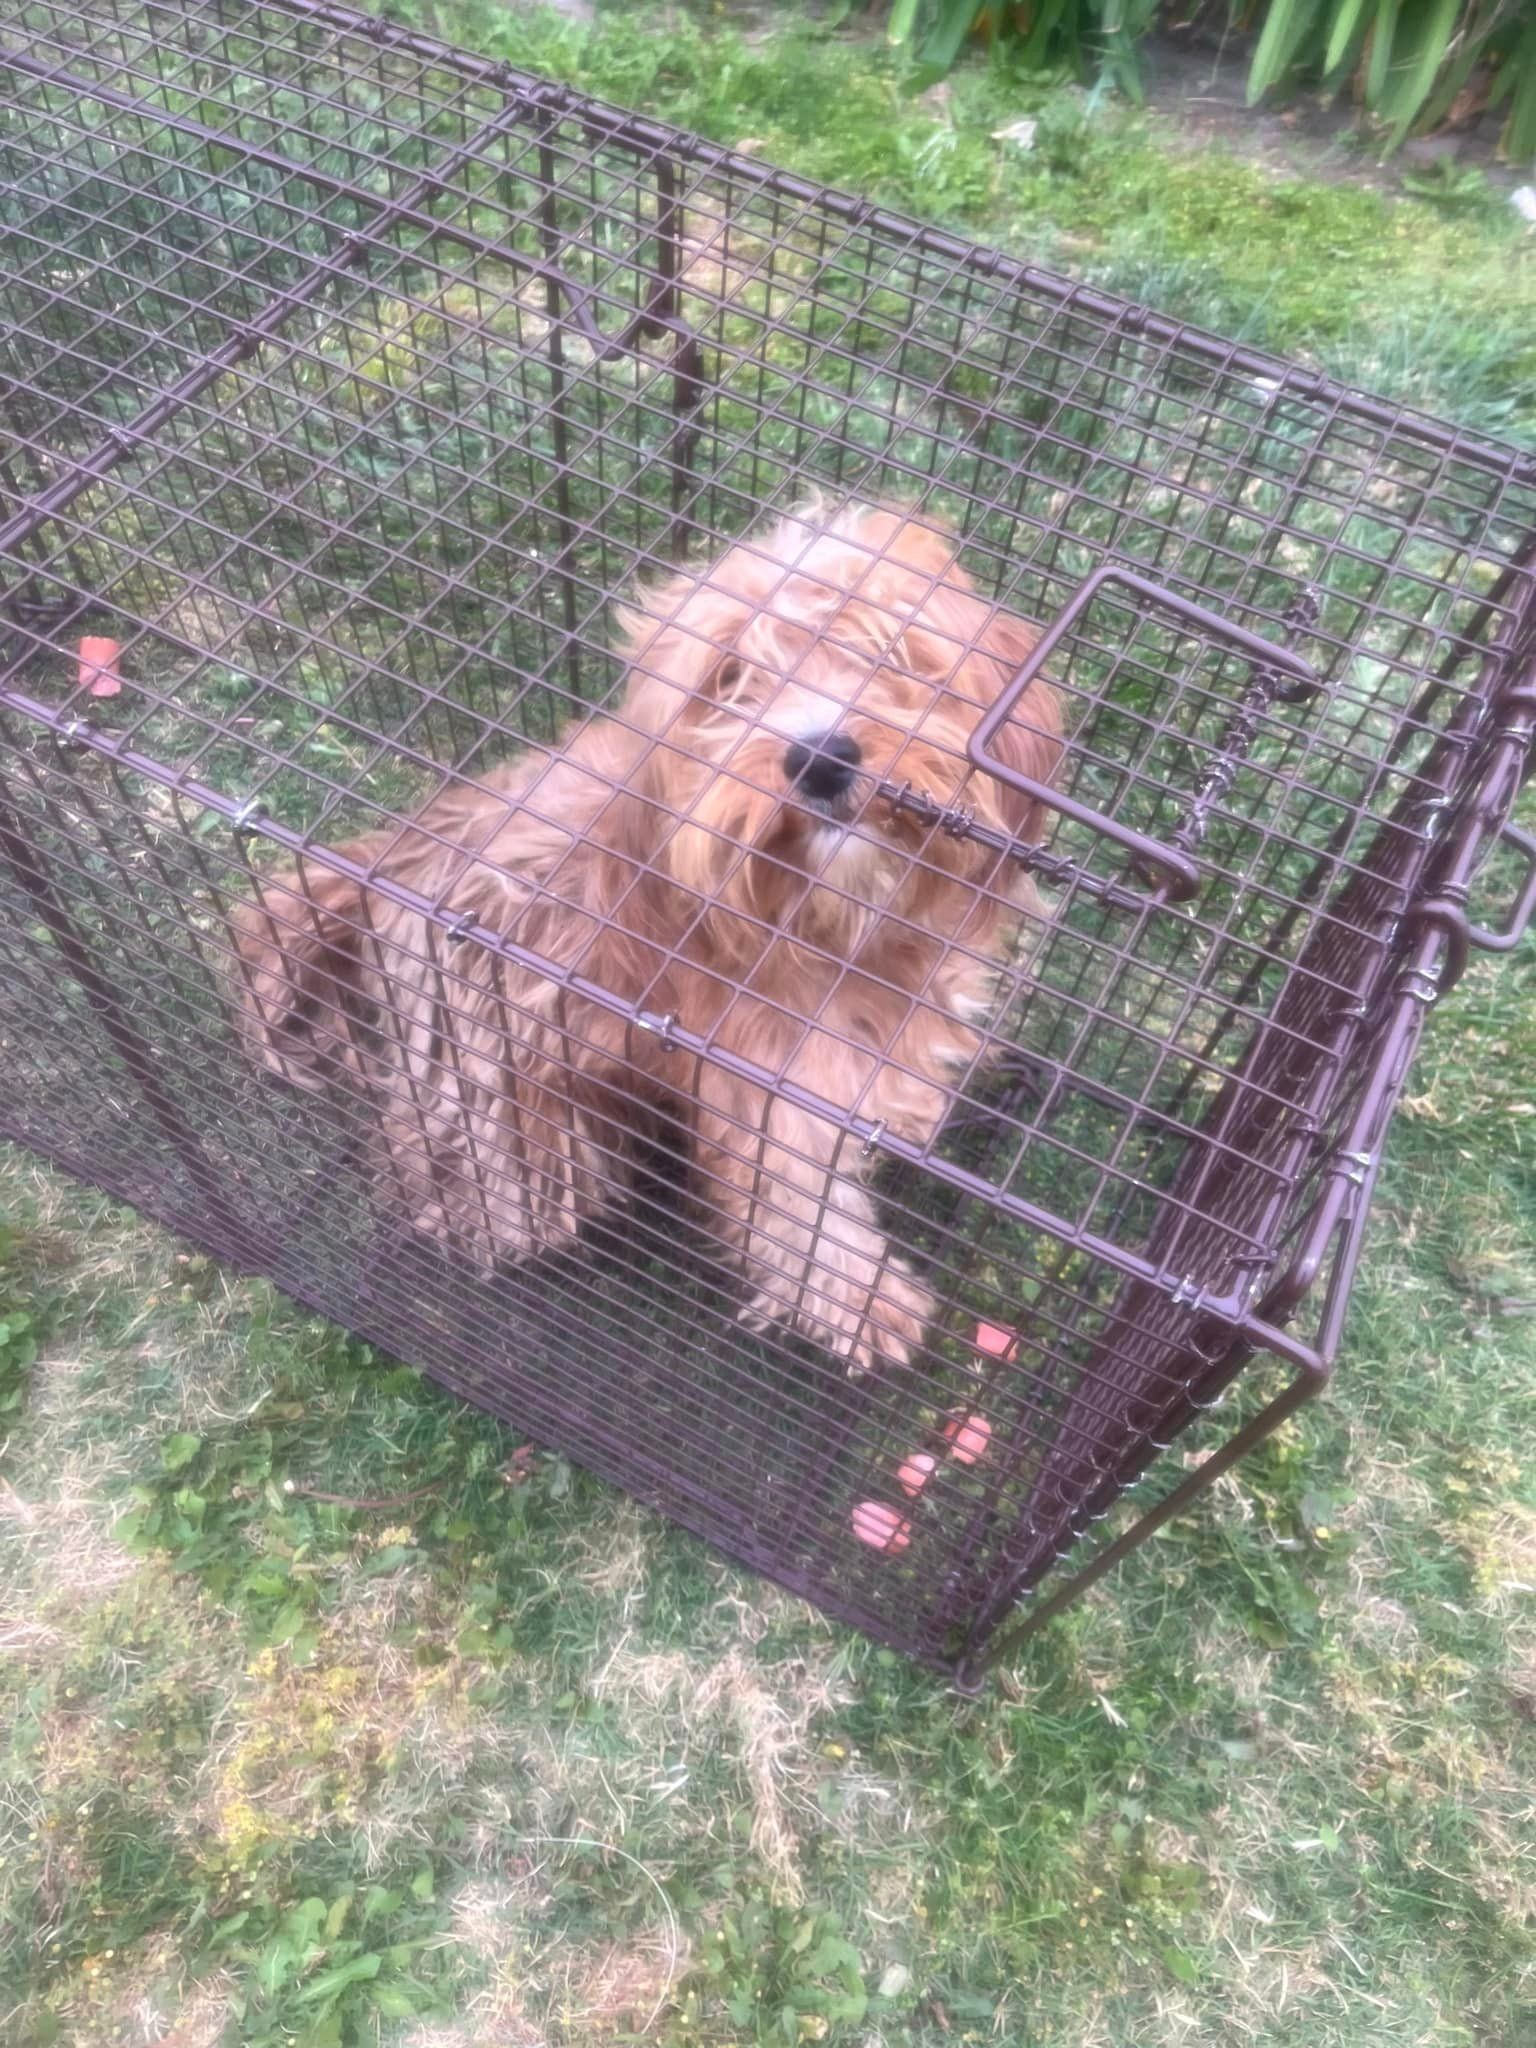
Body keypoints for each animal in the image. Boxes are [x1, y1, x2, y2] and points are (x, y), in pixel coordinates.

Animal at [234, 495, 1064, 1368]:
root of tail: (399, 852)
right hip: (486, 1043)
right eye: (730, 680)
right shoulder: (771, 1088)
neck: (837, 925)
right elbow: (802, 1211)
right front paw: (863, 1303)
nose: (821, 759)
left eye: (884, 649)